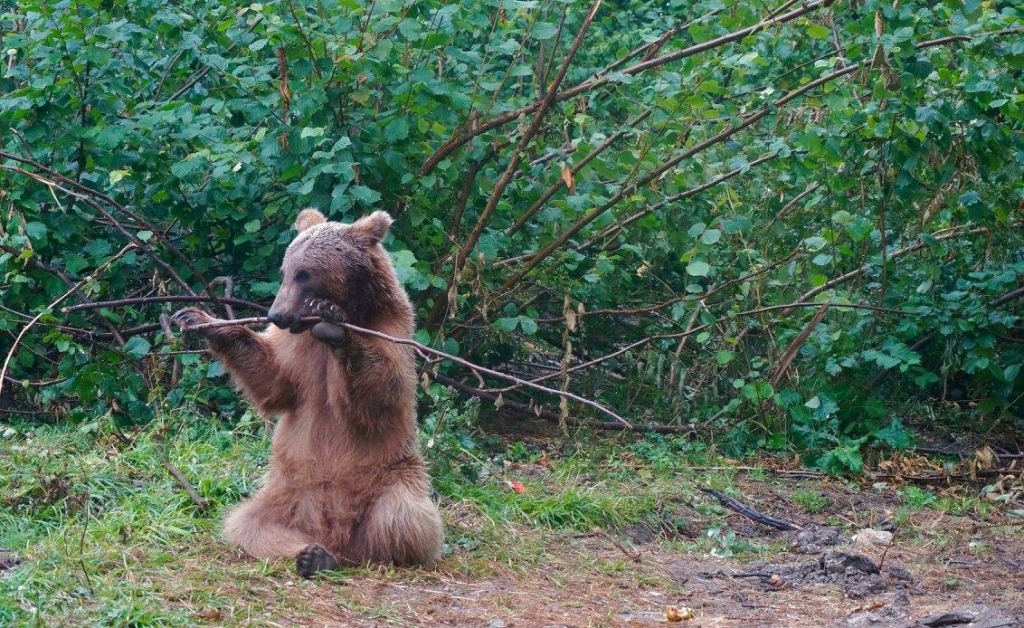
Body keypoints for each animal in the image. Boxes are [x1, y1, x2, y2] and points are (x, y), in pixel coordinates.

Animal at [173, 207, 444, 573]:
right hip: (287, 492)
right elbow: (274, 380)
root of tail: (340, 539)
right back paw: (312, 554)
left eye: (305, 274)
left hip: (392, 476)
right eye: (285, 271)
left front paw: (335, 326)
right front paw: (200, 318)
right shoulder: (295, 348)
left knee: (406, 515)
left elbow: (382, 390)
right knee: (246, 522)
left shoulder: (393, 328)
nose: (276, 312)